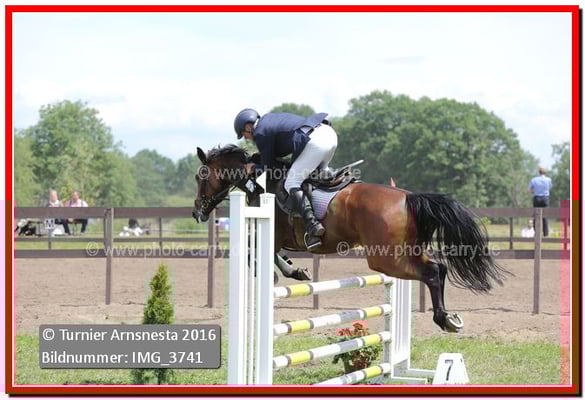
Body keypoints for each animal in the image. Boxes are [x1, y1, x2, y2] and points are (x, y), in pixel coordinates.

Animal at [192, 144, 510, 333]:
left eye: (200, 176)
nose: (197, 211)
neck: (260, 181)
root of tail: (408, 197)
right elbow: (273, 255)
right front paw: (297, 270)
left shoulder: (273, 233)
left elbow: (255, 254)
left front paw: (280, 274)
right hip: (404, 252)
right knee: (438, 268)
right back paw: (448, 318)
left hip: (385, 259)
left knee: (432, 271)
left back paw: (444, 319)